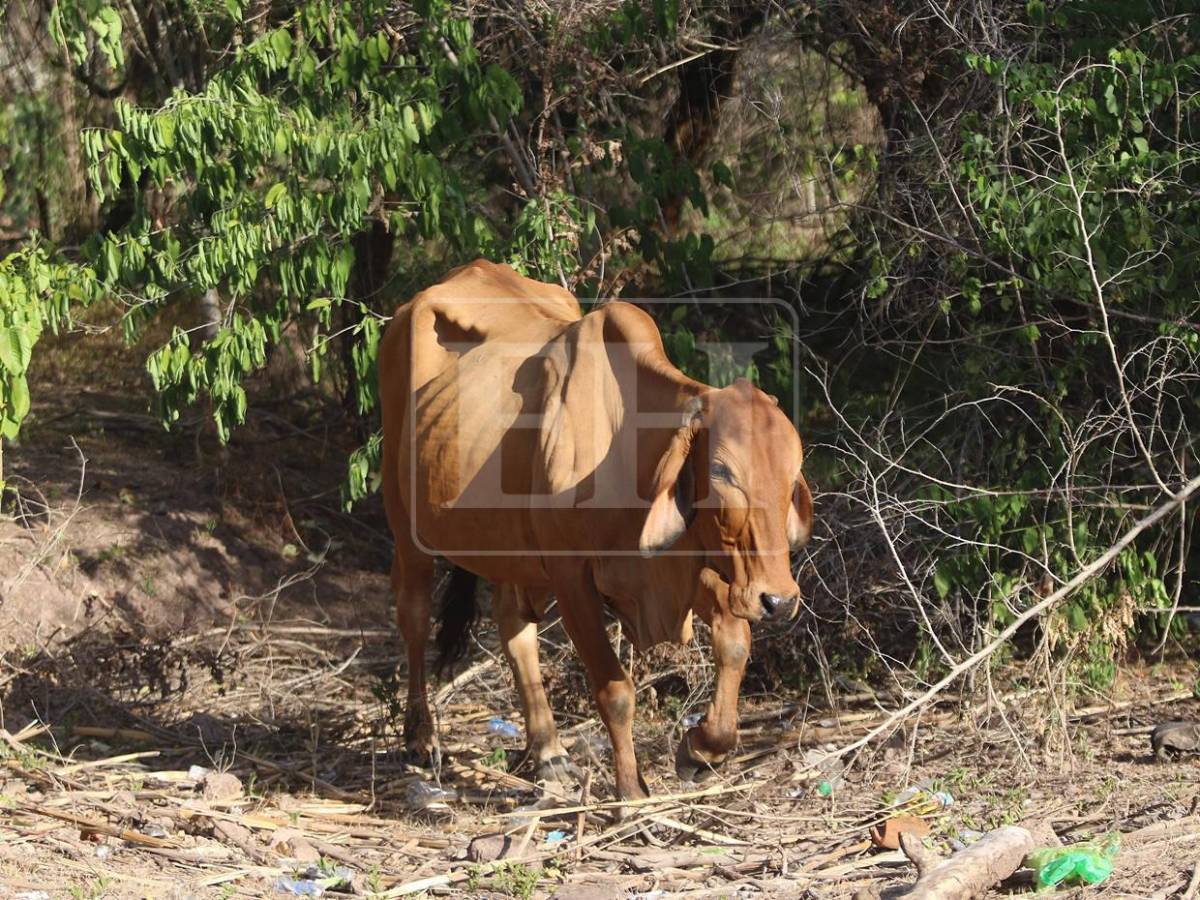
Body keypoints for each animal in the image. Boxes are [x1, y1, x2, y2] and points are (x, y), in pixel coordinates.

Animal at [378, 259, 813, 803]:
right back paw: (421, 737)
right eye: (722, 473)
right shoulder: (573, 579)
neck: (628, 449)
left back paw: (547, 751)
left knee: (513, 629)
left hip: (510, 548)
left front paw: (700, 750)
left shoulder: (696, 565)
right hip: (405, 523)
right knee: (414, 615)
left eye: (791, 474)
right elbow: (615, 690)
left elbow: (735, 647)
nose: (779, 601)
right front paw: (630, 792)